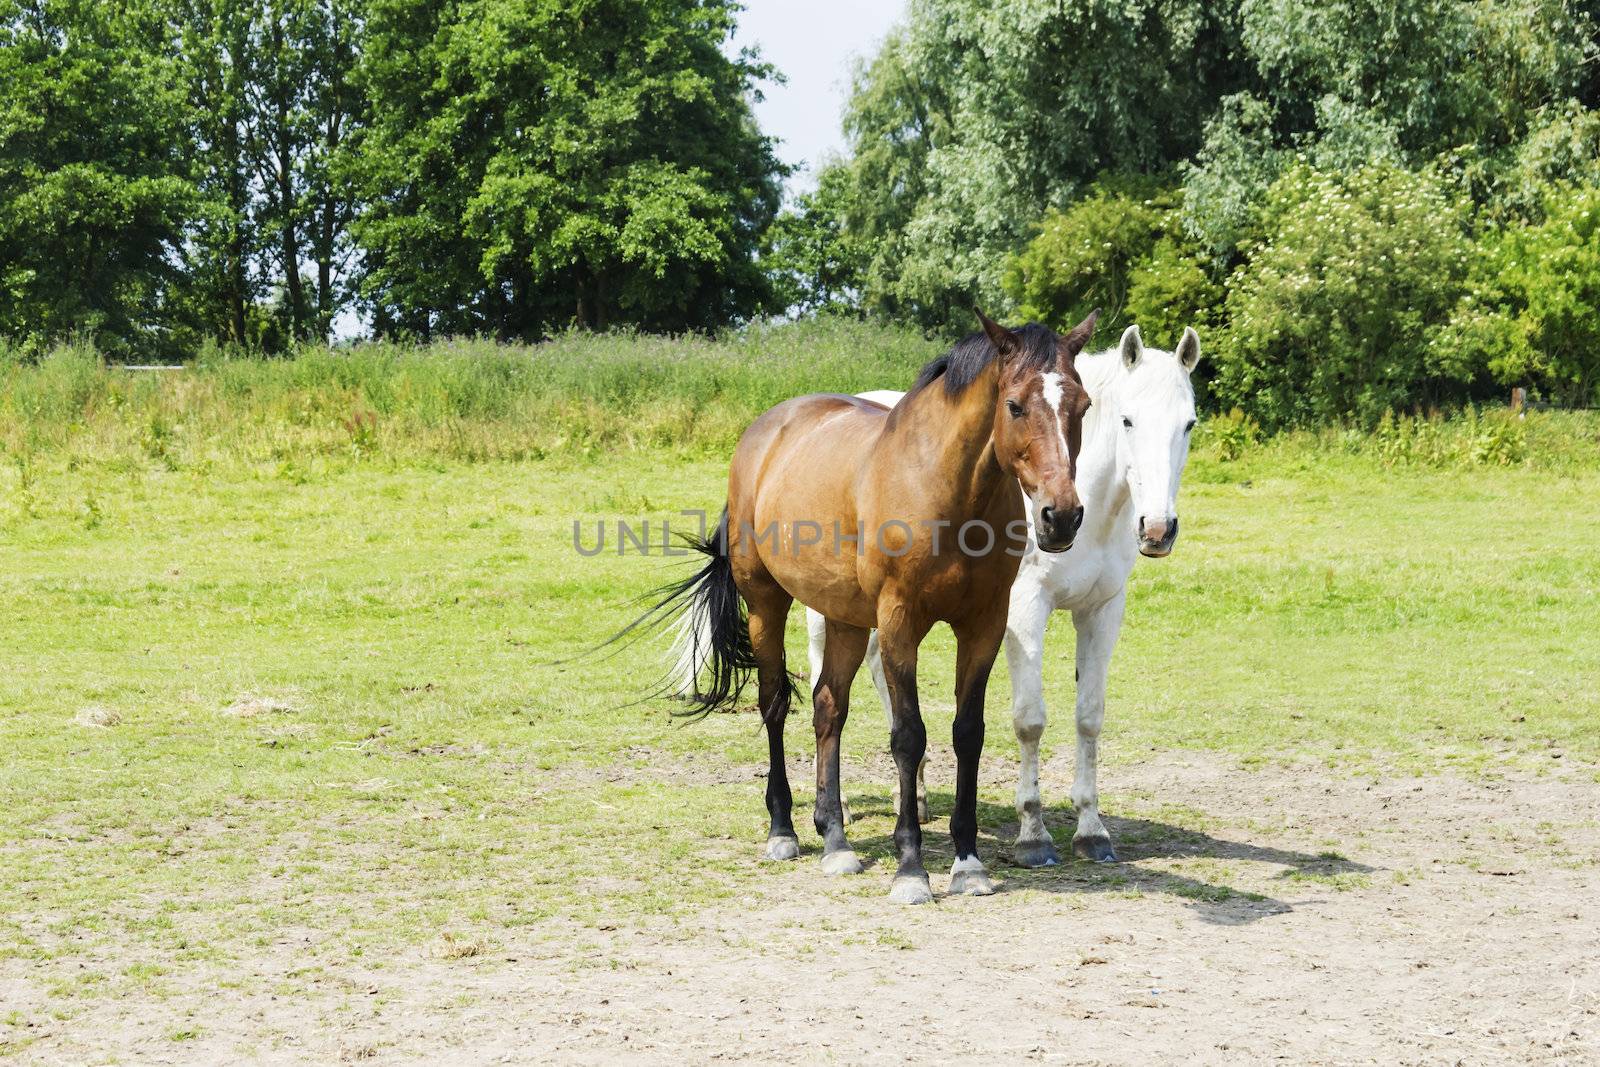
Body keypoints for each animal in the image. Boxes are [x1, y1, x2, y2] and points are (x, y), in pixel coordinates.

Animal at [656, 308, 1094, 902]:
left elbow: (968, 733)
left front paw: (968, 861)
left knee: (828, 707)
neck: (946, 490)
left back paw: (836, 840)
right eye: (1015, 405)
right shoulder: (898, 624)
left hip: (843, 617)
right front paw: (910, 868)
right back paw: (783, 831)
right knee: (775, 704)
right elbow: (908, 736)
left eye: (1083, 405)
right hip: (767, 603)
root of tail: (764, 433)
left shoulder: (983, 624)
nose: (1061, 516)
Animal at [800, 326, 1203, 870]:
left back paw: (917, 796)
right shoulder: (1022, 610)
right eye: (1127, 419)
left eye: (1189, 424)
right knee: (826, 688)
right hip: (829, 608)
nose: (1158, 529)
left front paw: (1091, 829)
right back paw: (833, 808)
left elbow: (1090, 716)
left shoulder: (1101, 610)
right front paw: (1033, 835)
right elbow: (1029, 720)